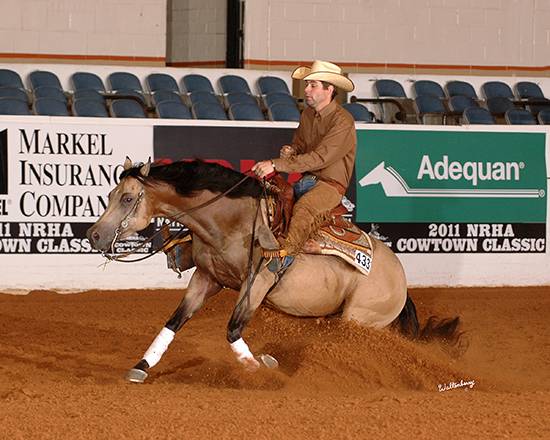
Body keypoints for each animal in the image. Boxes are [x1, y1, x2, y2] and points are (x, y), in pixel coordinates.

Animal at [88, 158, 464, 382]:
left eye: (127, 199)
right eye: (110, 194)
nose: (94, 235)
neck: (233, 223)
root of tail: (400, 279)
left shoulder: (257, 283)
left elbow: (232, 329)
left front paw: (260, 367)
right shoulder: (207, 279)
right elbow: (174, 322)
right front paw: (141, 367)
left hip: (360, 319)